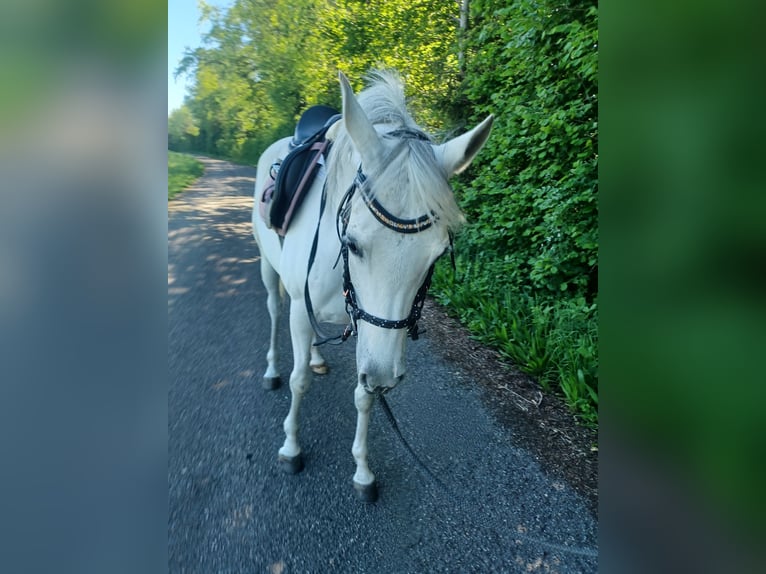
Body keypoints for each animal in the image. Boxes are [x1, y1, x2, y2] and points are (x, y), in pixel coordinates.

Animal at [252, 71, 492, 504]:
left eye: (436, 257)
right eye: (352, 243)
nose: (386, 376)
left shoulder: (370, 329)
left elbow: (364, 394)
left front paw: (363, 470)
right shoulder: (303, 312)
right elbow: (299, 381)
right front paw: (291, 447)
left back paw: (316, 357)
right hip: (269, 270)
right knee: (275, 315)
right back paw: (272, 369)